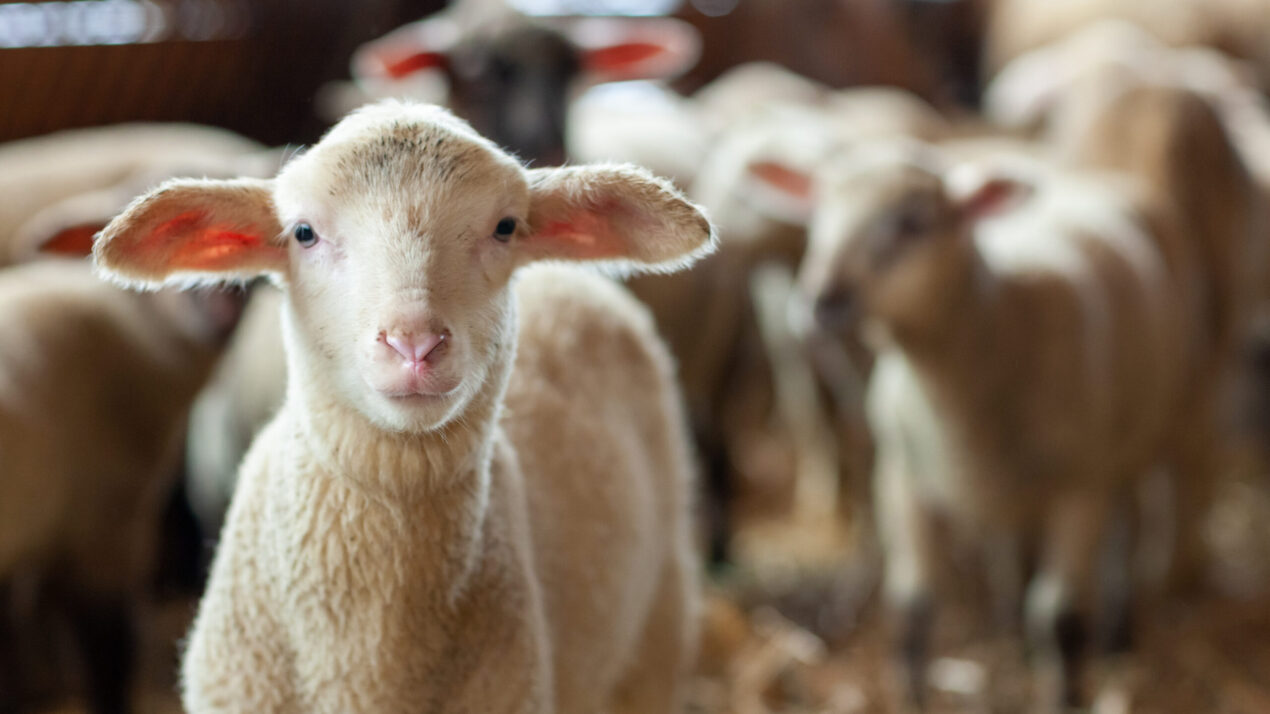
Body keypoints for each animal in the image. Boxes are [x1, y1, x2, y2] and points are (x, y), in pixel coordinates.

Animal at [745, 138, 1209, 709]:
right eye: (819, 212)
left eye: (913, 222)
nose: (821, 300)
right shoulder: (904, 477)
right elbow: (913, 607)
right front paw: (911, 699)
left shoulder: (1078, 489)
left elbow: (1059, 617)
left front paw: (1064, 694)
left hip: (1145, 434)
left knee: (1130, 531)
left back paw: (1118, 636)